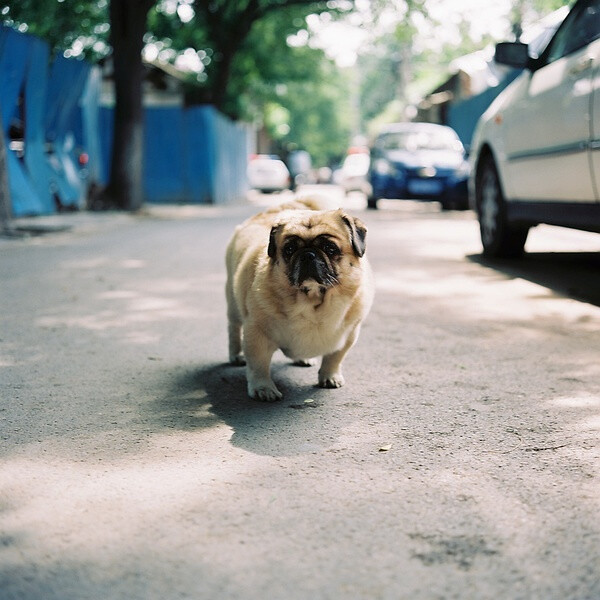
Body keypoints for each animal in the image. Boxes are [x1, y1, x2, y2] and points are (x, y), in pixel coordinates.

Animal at [225, 199, 372, 400]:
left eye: (330, 248)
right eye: (289, 249)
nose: (308, 254)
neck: (311, 301)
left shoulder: (348, 335)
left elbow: (334, 357)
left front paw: (330, 376)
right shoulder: (257, 333)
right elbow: (258, 364)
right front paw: (263, 388)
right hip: (233, 304)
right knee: (233, 328)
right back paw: (236, 355)